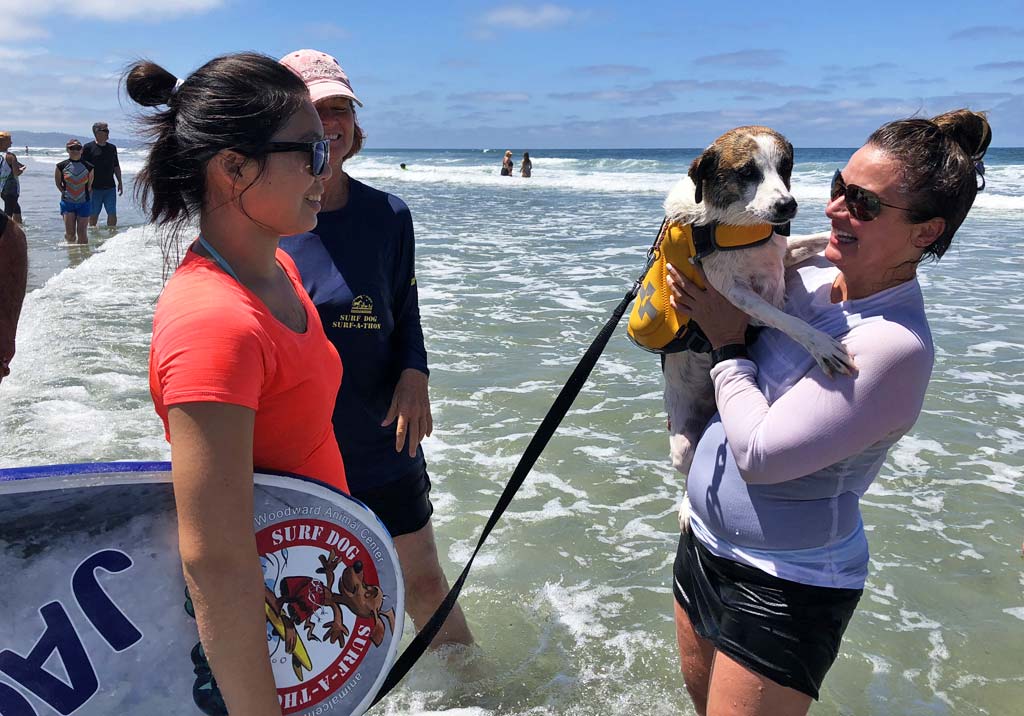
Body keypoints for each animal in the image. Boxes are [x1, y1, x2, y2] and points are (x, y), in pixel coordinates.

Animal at [659, 125, 851, 479]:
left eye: (786, 166)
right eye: (747, 172)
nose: (787, 206)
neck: (740, 224)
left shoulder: (782, 254)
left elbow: (815, 240)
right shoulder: (733, 292)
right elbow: (786, 320)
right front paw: (821, 344)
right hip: (682, 445)